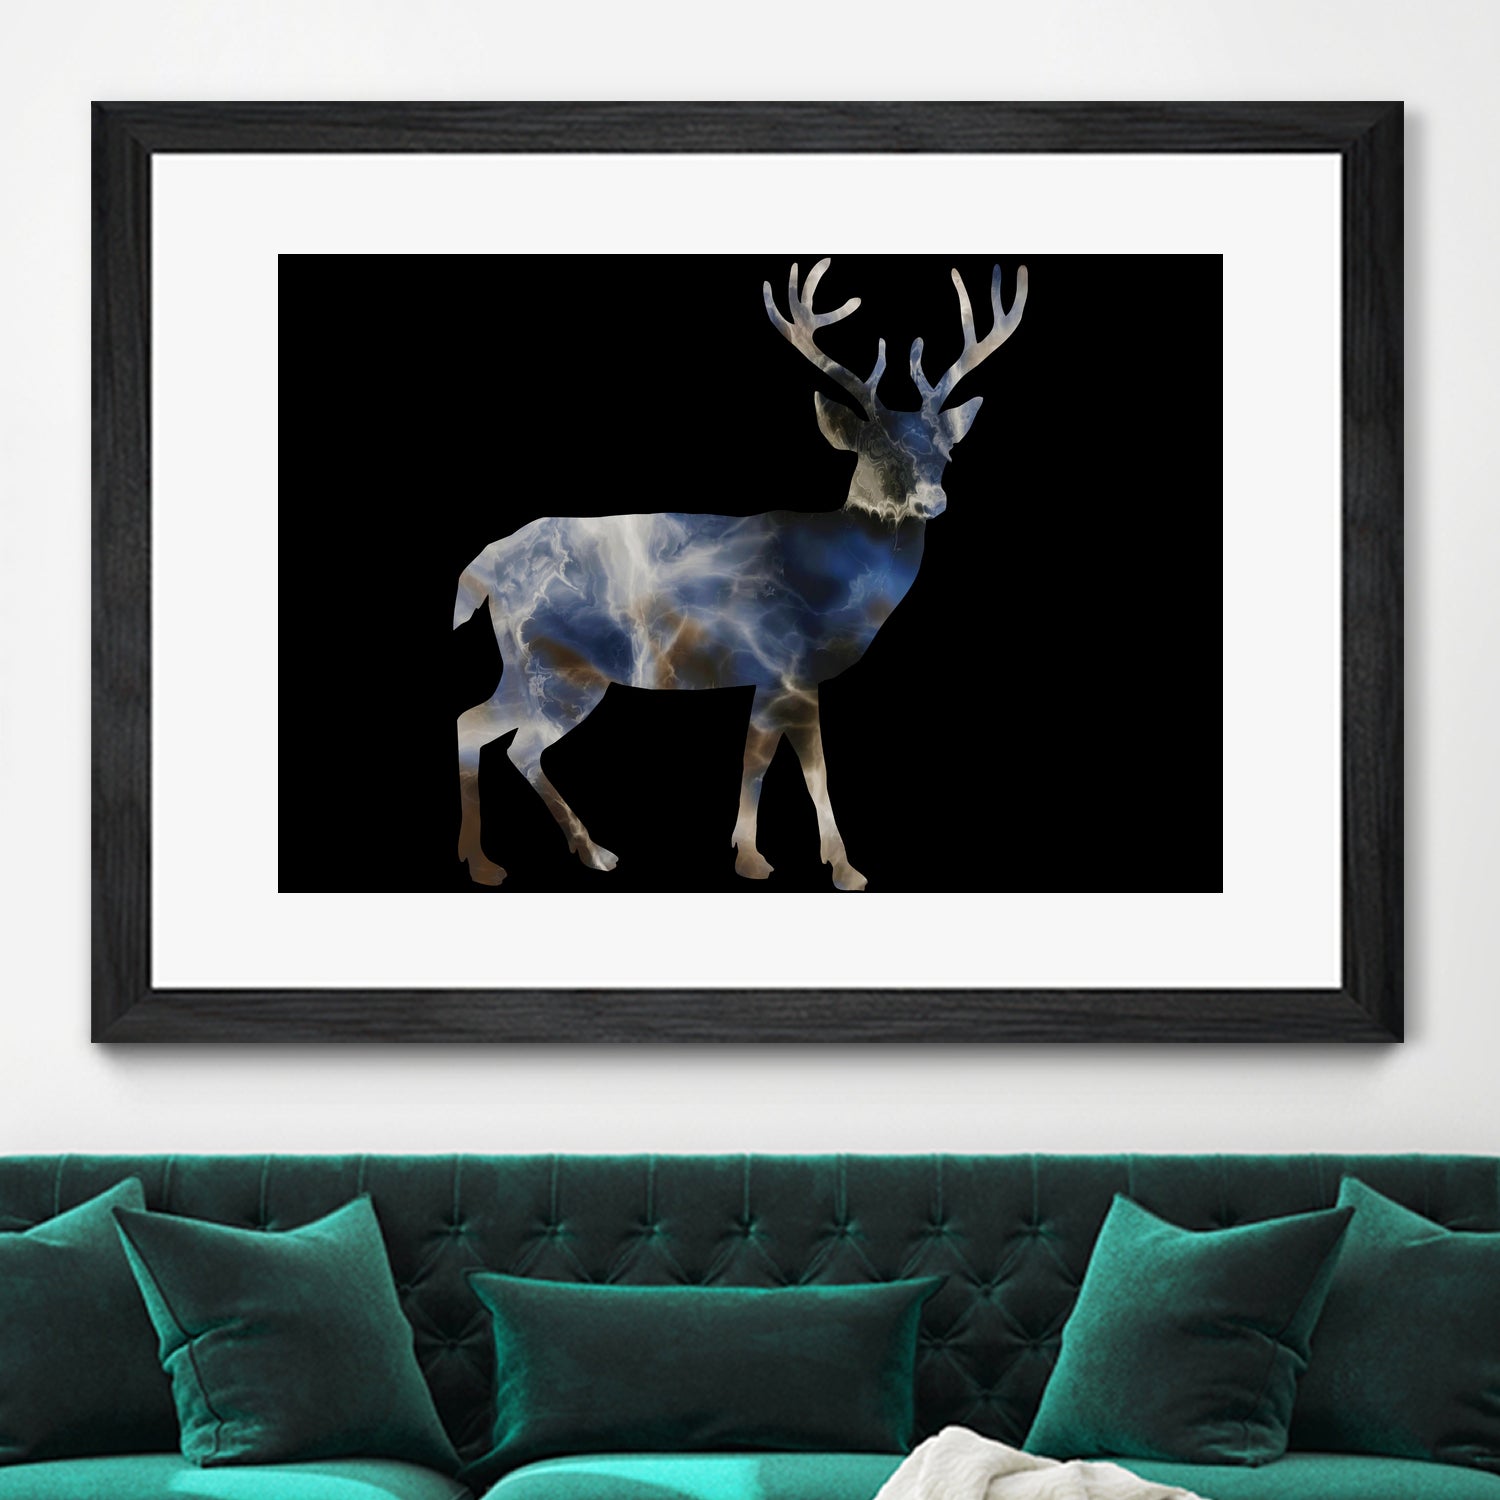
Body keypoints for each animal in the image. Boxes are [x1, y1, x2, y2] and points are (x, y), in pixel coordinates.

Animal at [454, 257, 1027, 890]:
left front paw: (750, 853)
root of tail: (486, 565)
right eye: (876, 450)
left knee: (475, 725)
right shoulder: (791, 665)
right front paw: (838, 866)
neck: (837, 580)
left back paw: (507, 856)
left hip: (526, 664)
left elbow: (756, 759)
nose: (933, 500)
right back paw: (567, 854)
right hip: (559, 666)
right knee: (516, 744)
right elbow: (808, 769)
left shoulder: (770, 676)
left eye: (946, 453)